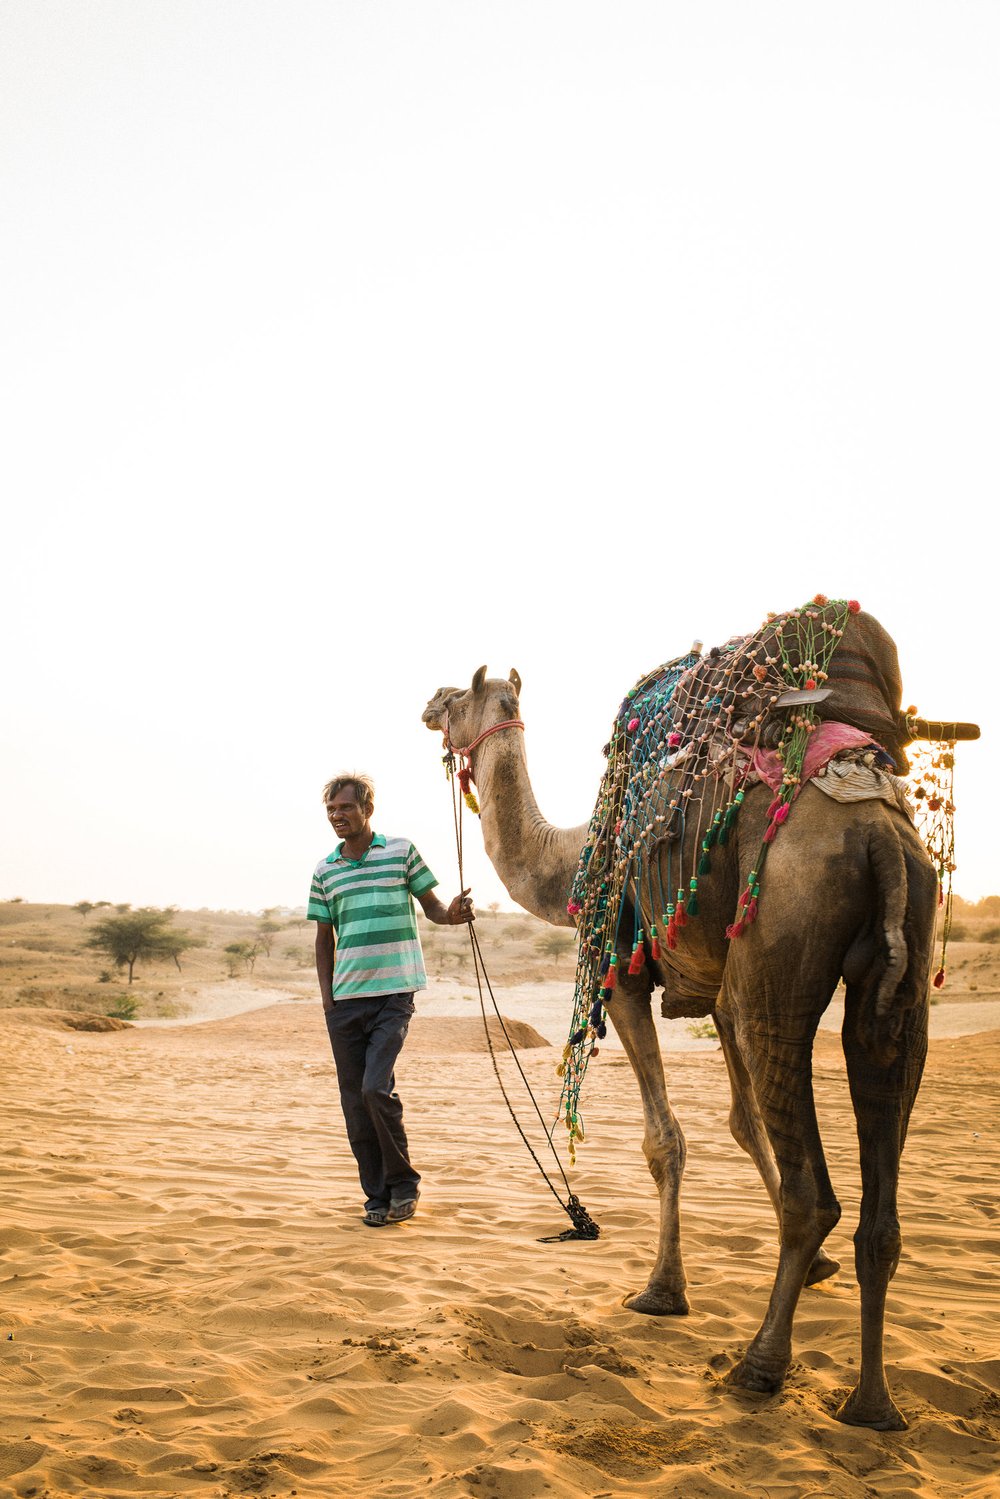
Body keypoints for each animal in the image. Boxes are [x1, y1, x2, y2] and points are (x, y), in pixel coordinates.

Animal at [422, 617, 977, 1427]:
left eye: (461, 696)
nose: (429, 703)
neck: (571, 858)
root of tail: (879, 833)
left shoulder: (623, 972)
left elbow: (666, 1140)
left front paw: (662, 1290)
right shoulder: (713, 986)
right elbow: (744, 1122)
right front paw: (816, 1271)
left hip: (783, 929)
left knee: (815, 1187)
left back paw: (761, 1363)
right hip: (900, 964)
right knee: (879, 1193)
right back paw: (871, 1404)